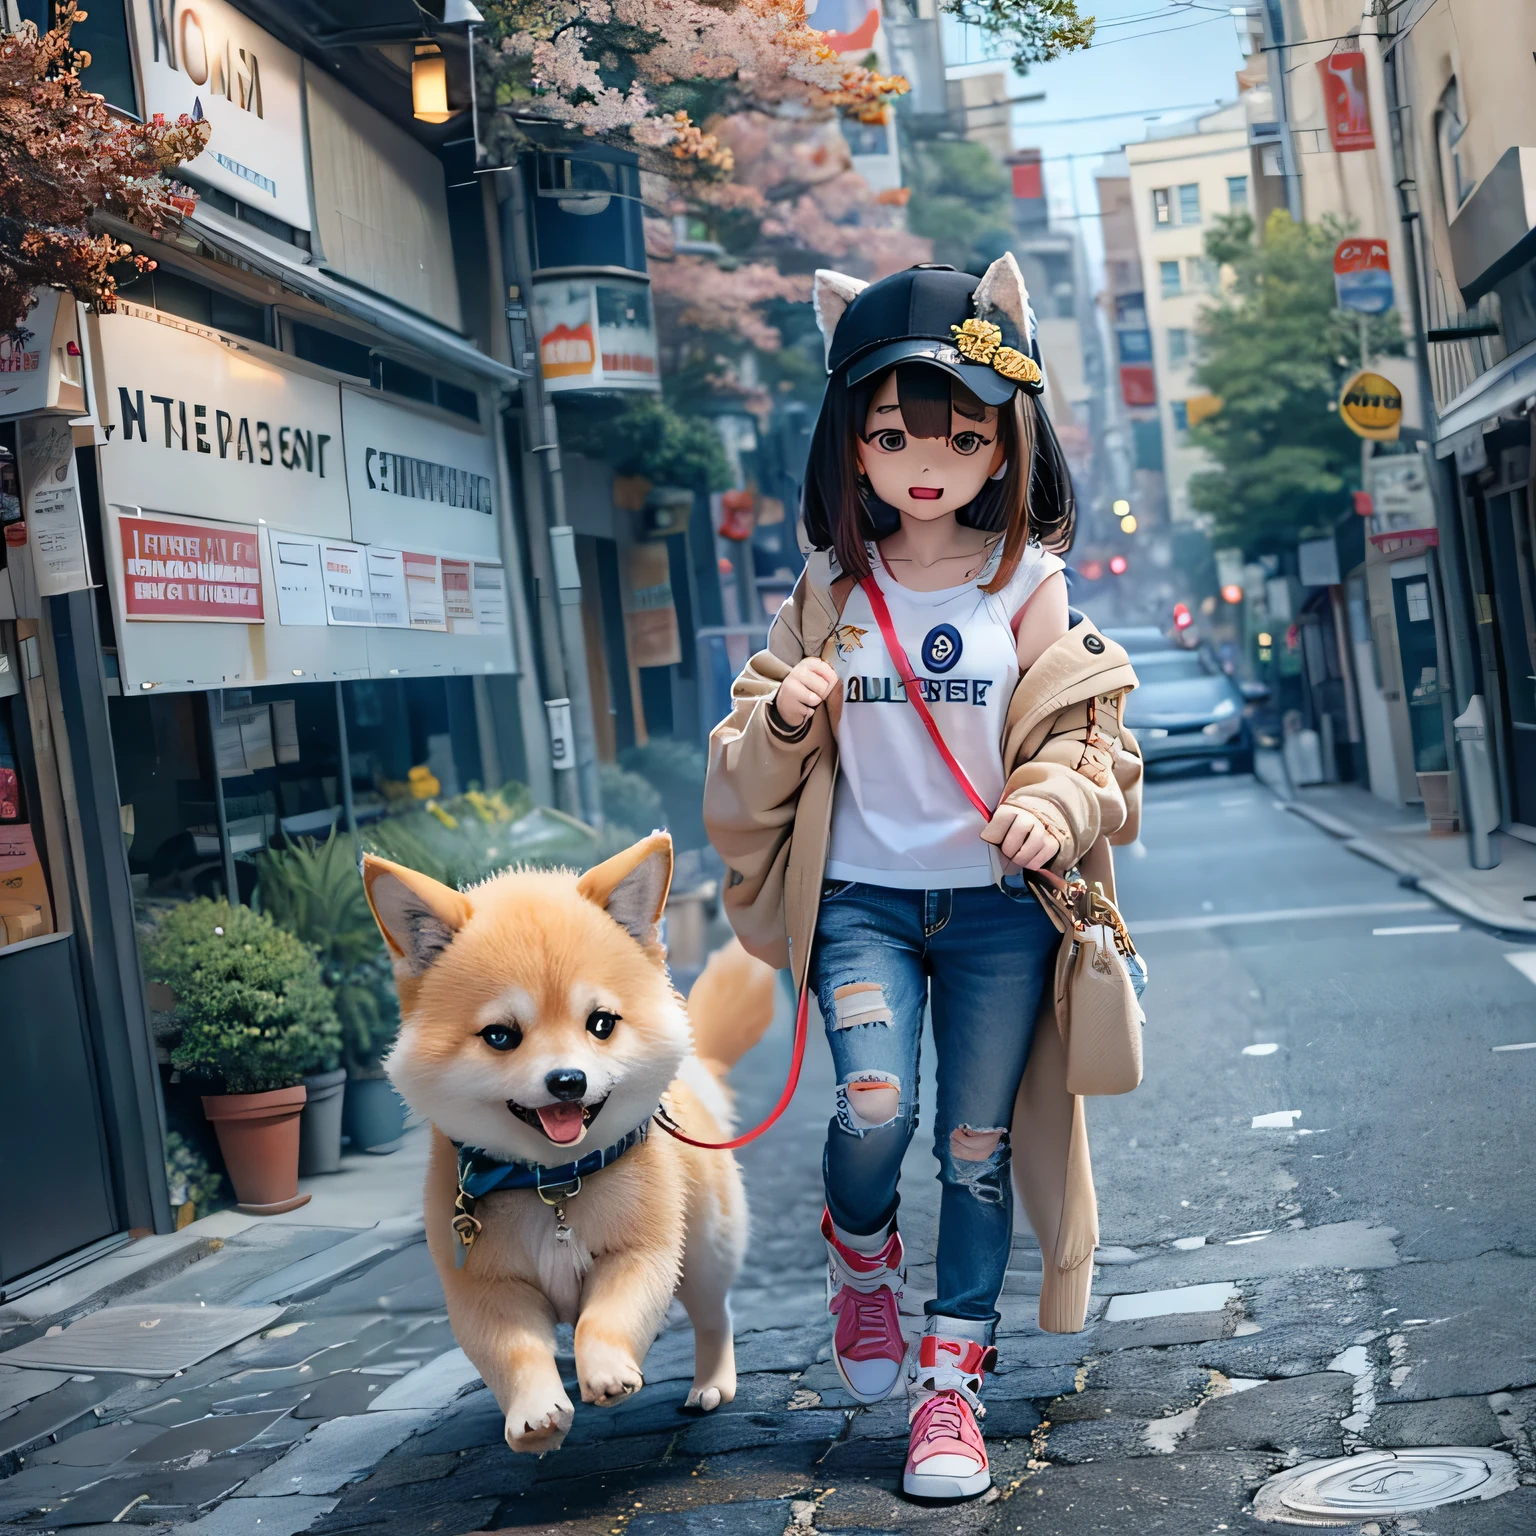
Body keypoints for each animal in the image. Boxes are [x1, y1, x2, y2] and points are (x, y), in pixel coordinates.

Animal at [362, 835, 780, 1456]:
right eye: (500, 1036)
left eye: (602, 1023)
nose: (567, 1081)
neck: (552, 1182)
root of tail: (697, 1077)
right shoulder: (487, 1289)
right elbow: (514, 1351)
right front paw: (535, 1414)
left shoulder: (639, 1254)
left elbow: (603, 1319)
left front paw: (605, 1372)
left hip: (707, 1251)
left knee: (713, 1313)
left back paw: (711, 1382)